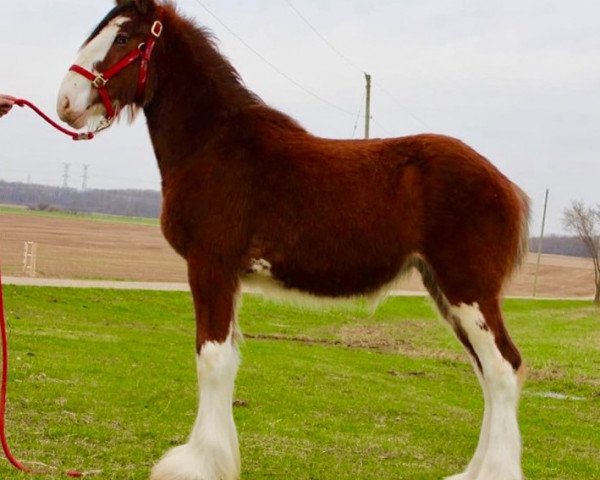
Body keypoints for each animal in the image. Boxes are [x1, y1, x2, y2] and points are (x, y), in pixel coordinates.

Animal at [56, 1, 528, 478]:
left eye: (122, 38)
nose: (65, 103)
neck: (214, 146)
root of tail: (506, 186)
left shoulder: (209, 265)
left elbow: (211, 359)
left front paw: (198, 464)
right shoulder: (228, 276)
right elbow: (228, 358)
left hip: (468, 289)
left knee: (502, 368)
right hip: (445, 290)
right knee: (486, 371)